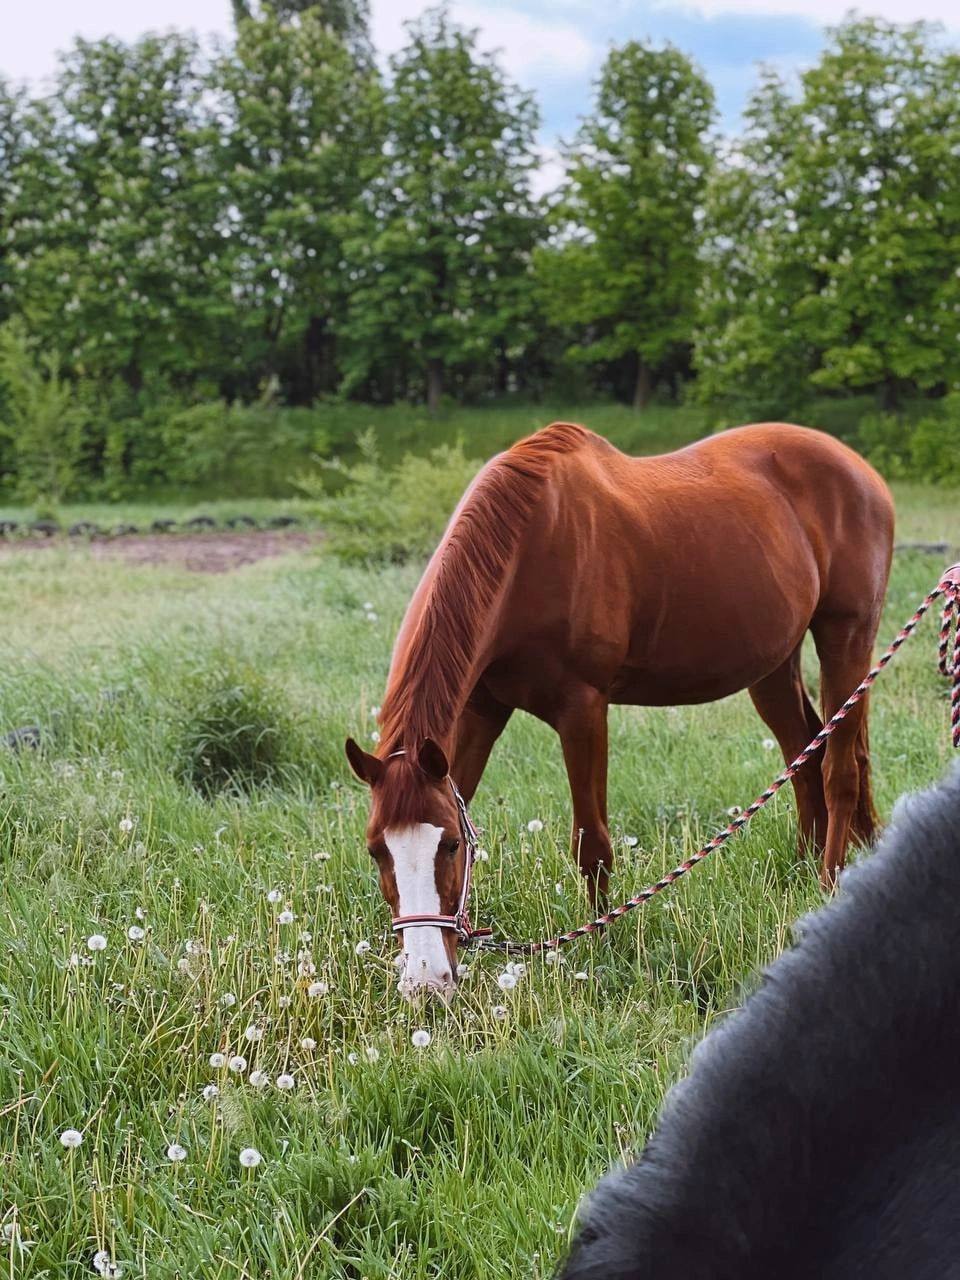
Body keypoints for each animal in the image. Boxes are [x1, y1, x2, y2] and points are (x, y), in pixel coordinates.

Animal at [345, 422, 896, 998]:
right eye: (376, 850)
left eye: (451, 846)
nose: (425, 982)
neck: (529, 551)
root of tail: (860, 471)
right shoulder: (480, 712)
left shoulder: (583, 709)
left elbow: (592, 843)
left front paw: (601, 946)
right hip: (773, 666)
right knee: (807, 755)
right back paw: (811, 867)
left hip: (847, 636)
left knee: (839, 768)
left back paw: (829, 882)